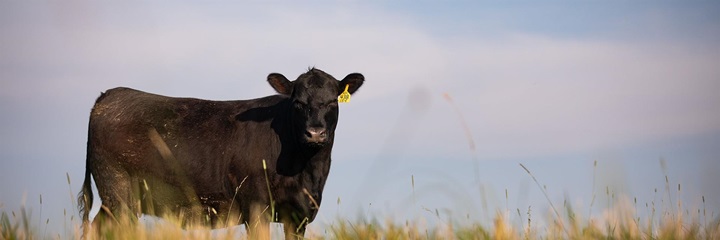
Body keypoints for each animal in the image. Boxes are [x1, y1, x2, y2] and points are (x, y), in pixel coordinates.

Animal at [77, 67, 366, 238]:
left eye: (332, 102)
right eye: (297, 103)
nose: (315, 133)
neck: (306, 170)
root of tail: (110, 95)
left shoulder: (298, 215)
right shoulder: (256, 208)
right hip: (117, 191)